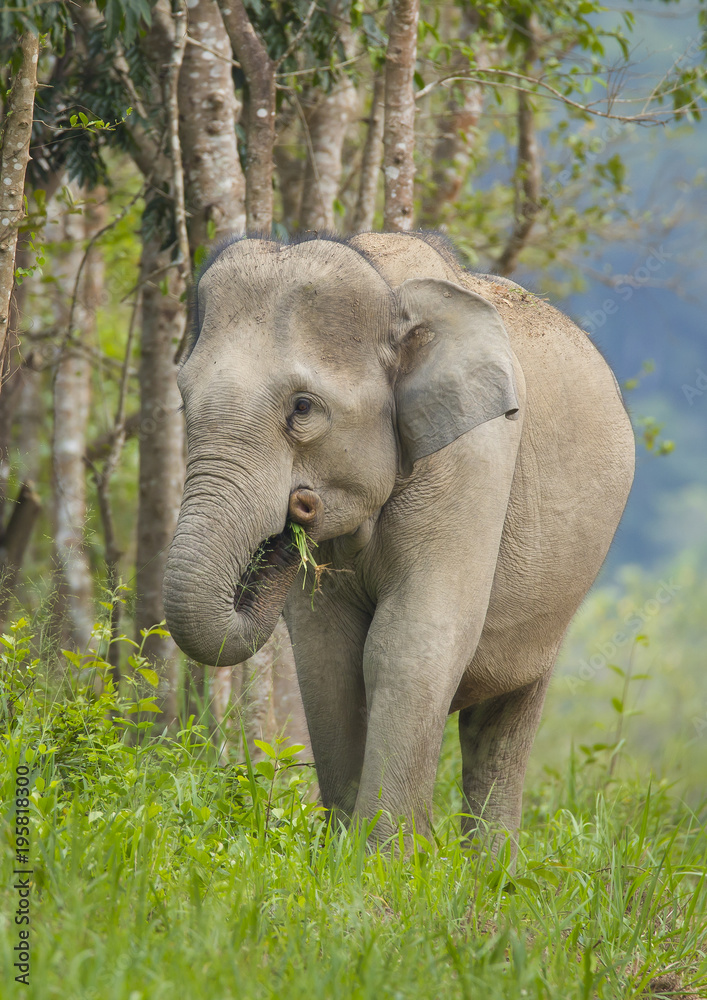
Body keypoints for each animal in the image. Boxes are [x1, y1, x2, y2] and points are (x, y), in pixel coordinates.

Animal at [163, 231, 634, 850]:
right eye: (183, 401)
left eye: (302, 407)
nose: (299, 508)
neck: (385, 289)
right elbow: (328, 652)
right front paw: (343, 848)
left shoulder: (475, 453)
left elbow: (409, 637)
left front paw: (384, 856)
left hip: (561, 597)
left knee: (508, 714)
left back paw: (490, 867)